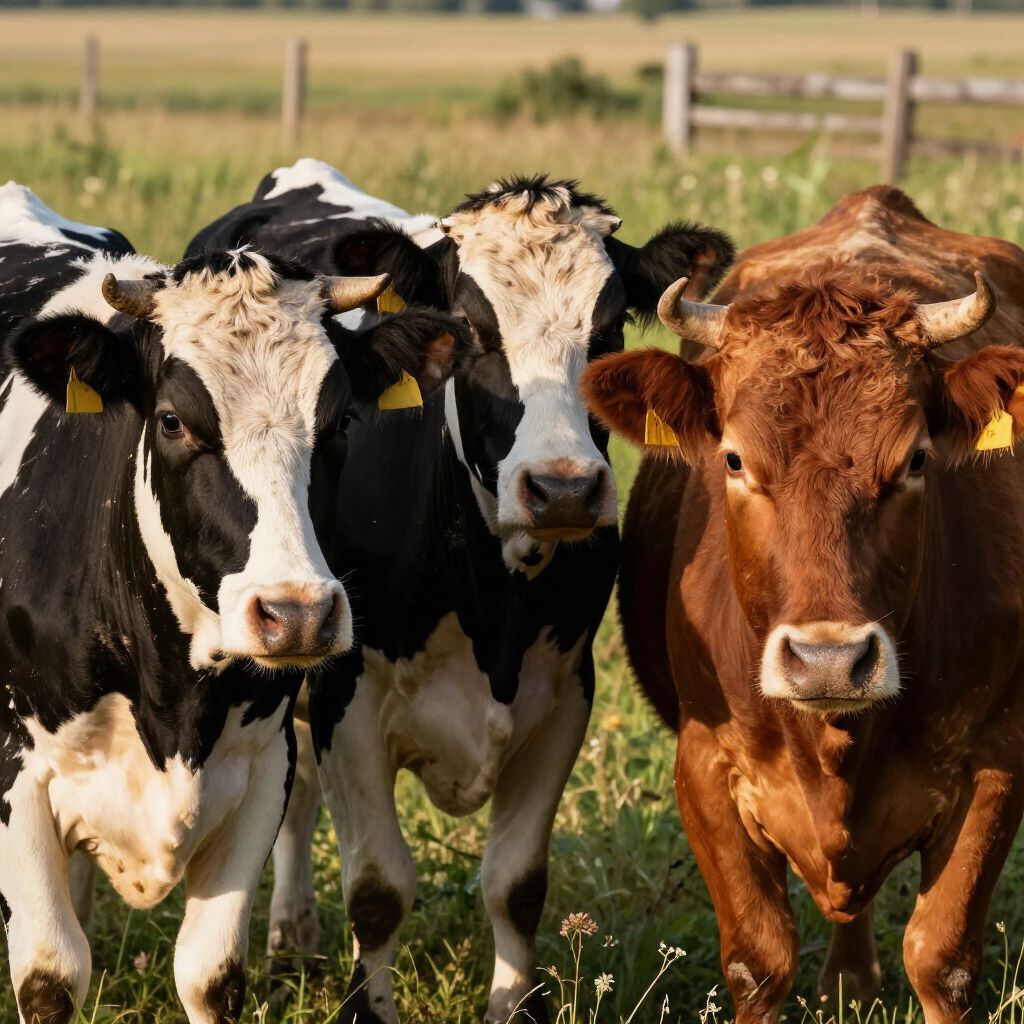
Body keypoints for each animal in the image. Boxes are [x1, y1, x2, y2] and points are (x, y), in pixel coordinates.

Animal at [0, 181, 464, 1024]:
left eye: (341, 421)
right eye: (173, 420)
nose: (297, 613)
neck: (169, 696)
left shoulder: (260, 769)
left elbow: (210, 975)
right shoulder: (18, 771)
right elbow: (50, 977)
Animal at [186, 159, 735, 1023]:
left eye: (609, 328)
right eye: (474, 329)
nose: (564, 488)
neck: (493, 602)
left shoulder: (561, 698)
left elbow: (516, 884)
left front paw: (514, 1005)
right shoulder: (349, 697)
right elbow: (378, 888)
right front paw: (366, 1010)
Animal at [581, 184, 1024, 1024]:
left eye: (915, 459)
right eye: (733, 459)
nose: (829, 661)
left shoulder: (996, 767)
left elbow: (942, 958)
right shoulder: (706, 770)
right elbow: (759, 962)